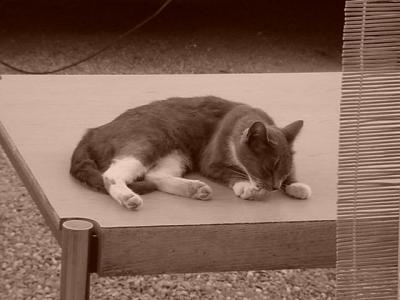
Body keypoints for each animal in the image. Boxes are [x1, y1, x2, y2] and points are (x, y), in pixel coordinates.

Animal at [70, 95, 310, 209]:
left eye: (284, 169)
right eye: (268, 167)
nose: (275, 187)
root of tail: (94, 130)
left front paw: (297, 185)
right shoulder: (210, 160)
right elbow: (226, 172)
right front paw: (245, 186)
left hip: (177, 153)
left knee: (155, 175)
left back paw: (195, 189)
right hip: (149, 139)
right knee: (111, 175)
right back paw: (128, 197)